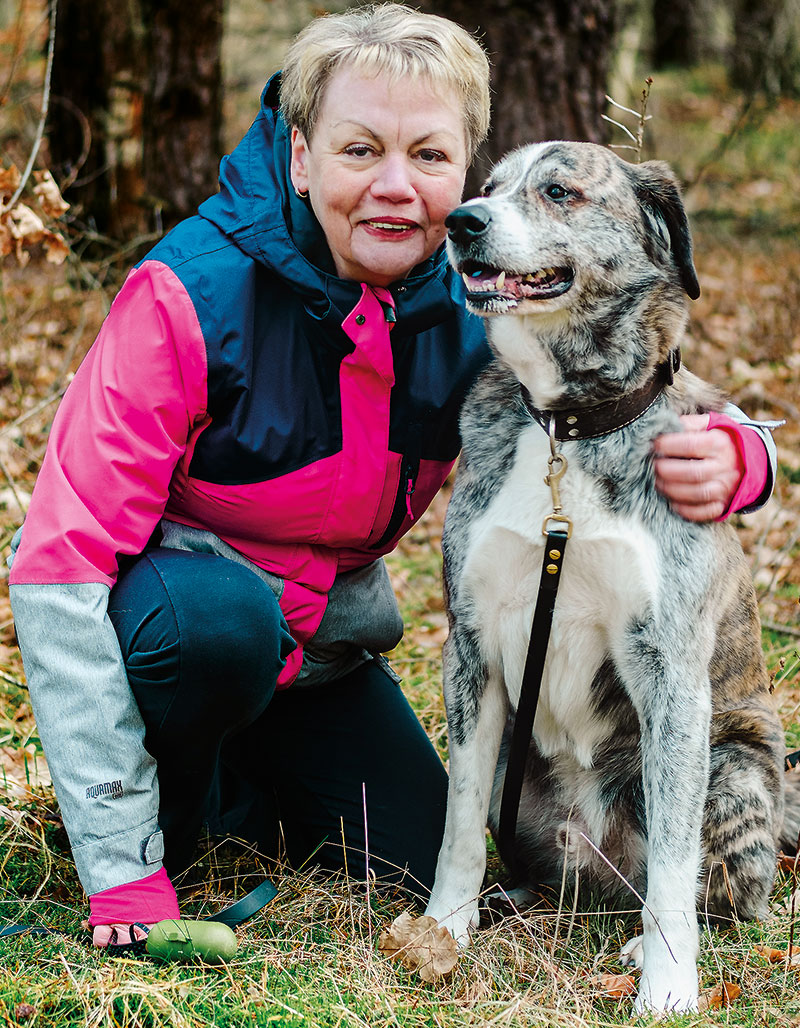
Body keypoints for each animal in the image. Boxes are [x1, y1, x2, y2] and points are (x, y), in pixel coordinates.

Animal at [421, 142, 793, 1011]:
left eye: (559, 191)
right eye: (487, 187)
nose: (461, 223)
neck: (567, 426)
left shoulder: (669, 667)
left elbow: (675, 866)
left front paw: (669, 985)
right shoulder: (471, 650)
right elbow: (458, 823)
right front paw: (442, 929)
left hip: (734, 772)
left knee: (716, 893)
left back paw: (643, 944)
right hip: (515, 767)